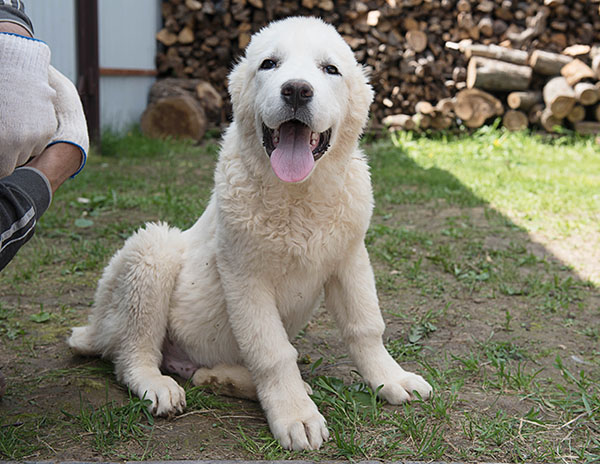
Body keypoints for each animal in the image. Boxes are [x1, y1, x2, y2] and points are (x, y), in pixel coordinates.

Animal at [69, 17, 432, 450]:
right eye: (269, 64)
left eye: (330, 69)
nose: (296, 90)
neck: (298, 195)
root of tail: (94, 328)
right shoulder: (245, 277)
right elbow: (272, 352)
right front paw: (296, 415)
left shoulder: (350, 259)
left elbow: (366, 327)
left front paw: (390, 379)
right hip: (151, 251)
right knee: (131, 352)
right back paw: (157, 384)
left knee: (194, 369)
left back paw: (225, 378)